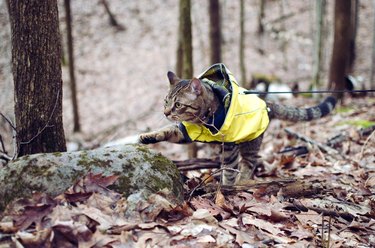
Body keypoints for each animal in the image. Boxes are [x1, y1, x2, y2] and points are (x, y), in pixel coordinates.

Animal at [139, 64, 338, 186]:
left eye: (178, 104)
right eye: (165, 101)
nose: (166, 112)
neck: (203, 121)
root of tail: (265, 104)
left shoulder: (230, 147)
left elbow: (229, 171)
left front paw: (226, 189)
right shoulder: (186, 132)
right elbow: (167, 130)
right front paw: (148, 136)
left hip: (250, 143)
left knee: (249, 163)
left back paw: (242, 181)